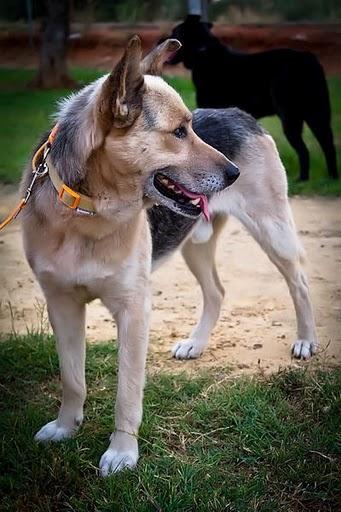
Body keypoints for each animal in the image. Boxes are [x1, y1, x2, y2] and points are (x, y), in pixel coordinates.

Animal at [165, 15, 338, 182]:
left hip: (292, 118)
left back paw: (303, 178)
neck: (203, 53)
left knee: (304, 150)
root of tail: (308, 59)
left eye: (175, 31)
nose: (162, 40)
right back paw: (331, 177)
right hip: (317, 114)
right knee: (328, 144)